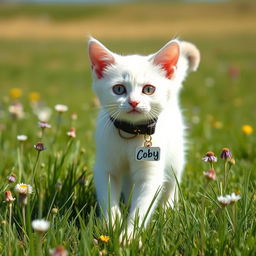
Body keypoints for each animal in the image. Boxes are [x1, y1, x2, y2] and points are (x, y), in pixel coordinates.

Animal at [88, 36, 200, 240]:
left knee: (172, 182)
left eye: (148, 89)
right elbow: (108, 198)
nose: (133, 102)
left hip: (175, 157)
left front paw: (129, 237)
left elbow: (142, 206)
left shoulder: (151, 173)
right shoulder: (105, 167)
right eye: (118, 89)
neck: (130, 134)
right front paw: (112, 225)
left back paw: (168, 209)